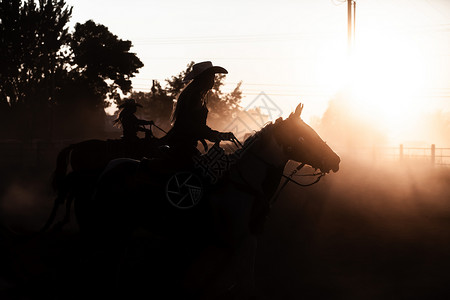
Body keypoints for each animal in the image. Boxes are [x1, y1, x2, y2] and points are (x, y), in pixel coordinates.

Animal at [72, 102, 340, 298]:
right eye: (305, 135)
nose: (336, 160)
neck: (245, 187)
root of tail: (110, 167)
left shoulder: (234, 243)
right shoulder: (239, 242)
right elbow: (244, 283)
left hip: (123, 227)